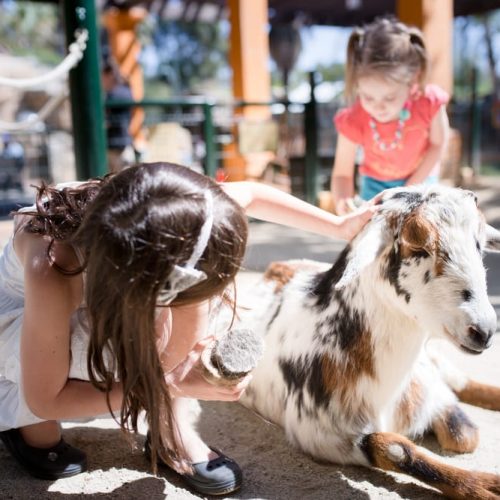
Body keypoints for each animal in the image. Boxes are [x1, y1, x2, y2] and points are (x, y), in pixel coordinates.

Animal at [236, 187, 500, 500]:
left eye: (479, 245)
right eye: (417, 246)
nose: (484, 330)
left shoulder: (432, 393)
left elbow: (464, 434)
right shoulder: (318, 435)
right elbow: (395, 447)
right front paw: (484, 486)